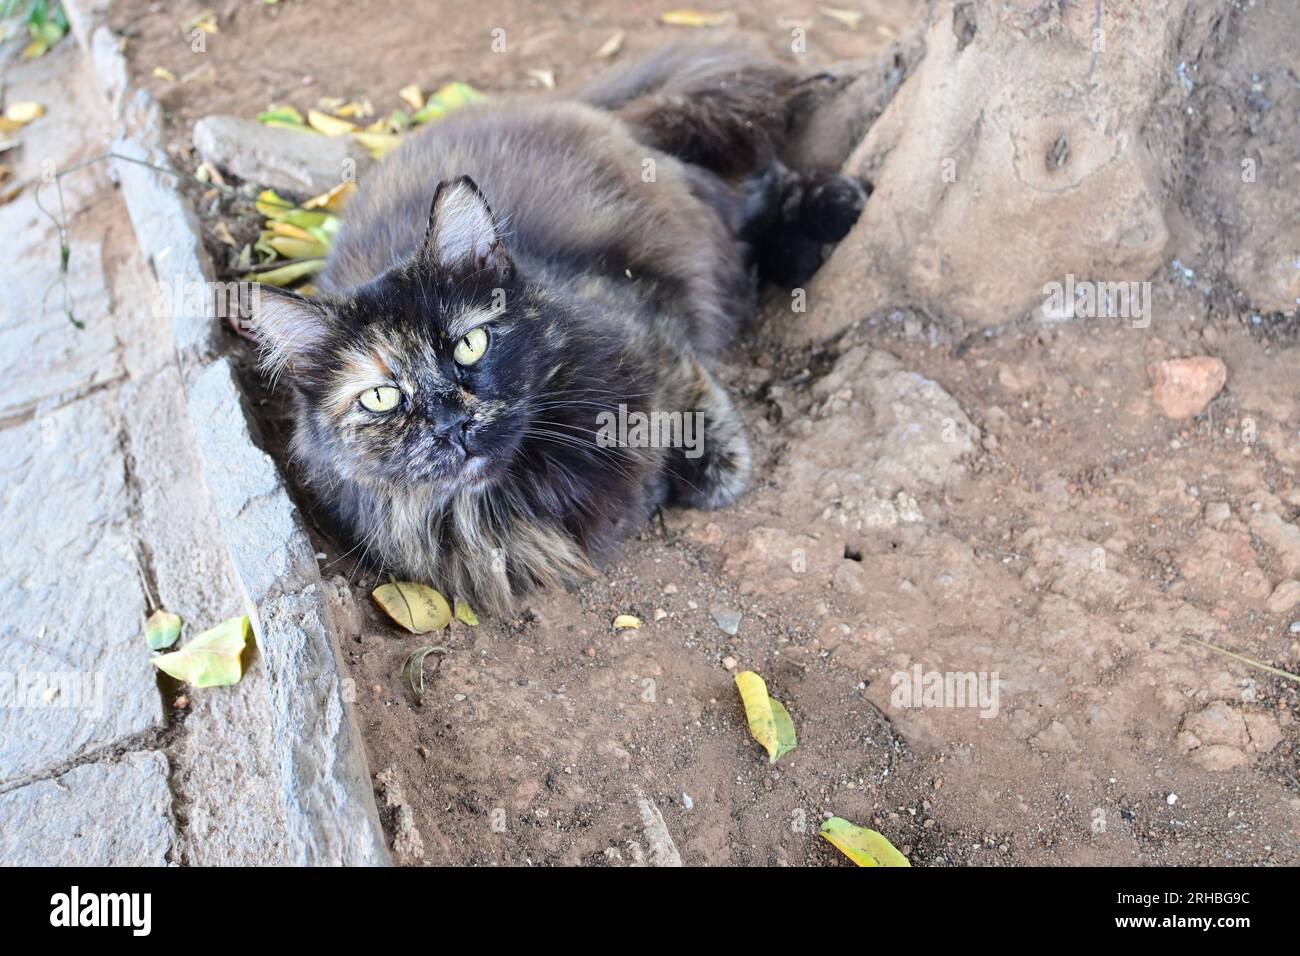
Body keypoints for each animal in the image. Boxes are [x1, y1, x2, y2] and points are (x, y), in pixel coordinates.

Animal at [252, 41, 863, 613]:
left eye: (470, 345)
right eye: (380, 398)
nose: (451, 424)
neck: (524, 485)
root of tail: (562, 103)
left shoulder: (656, 329)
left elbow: (711, 456)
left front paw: (673, 479)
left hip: (695, 200)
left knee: (760, 185)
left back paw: (837, 208)